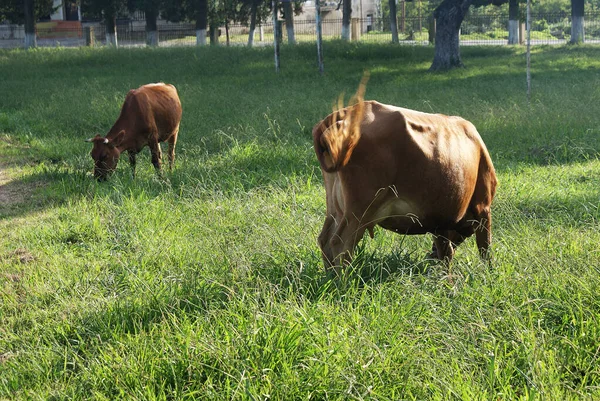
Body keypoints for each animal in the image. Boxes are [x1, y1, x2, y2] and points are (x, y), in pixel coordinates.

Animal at [314, 88, 496, 272]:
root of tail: (345, 113)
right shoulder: (483, 205)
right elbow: (485, 247)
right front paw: (489, 272)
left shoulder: (440, 218)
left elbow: (445, 252)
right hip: (359, 209)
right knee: (340, 244)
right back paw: (345, 278)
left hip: (336, 207)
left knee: (325, 239)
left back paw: (330, 275)